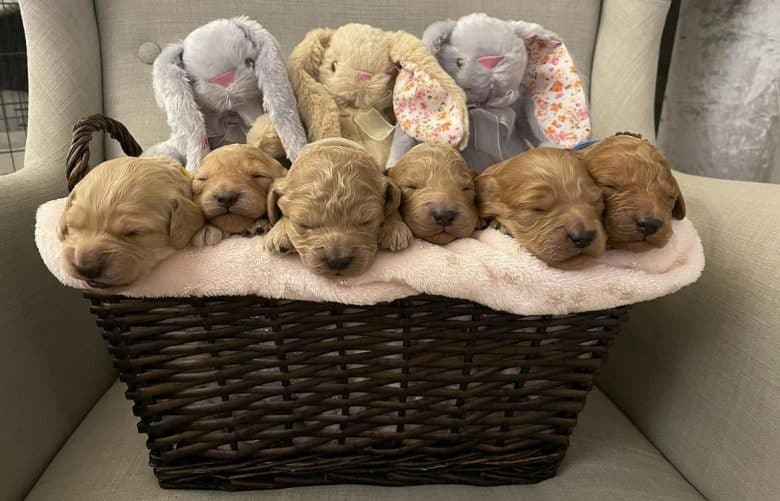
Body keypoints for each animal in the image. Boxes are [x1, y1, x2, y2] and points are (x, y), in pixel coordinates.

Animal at [266, 139, 414, 276]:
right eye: (303, 225)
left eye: (366, 222)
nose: (337, 261)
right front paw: (278, 232)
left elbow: (393, 204)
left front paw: (395, 228)